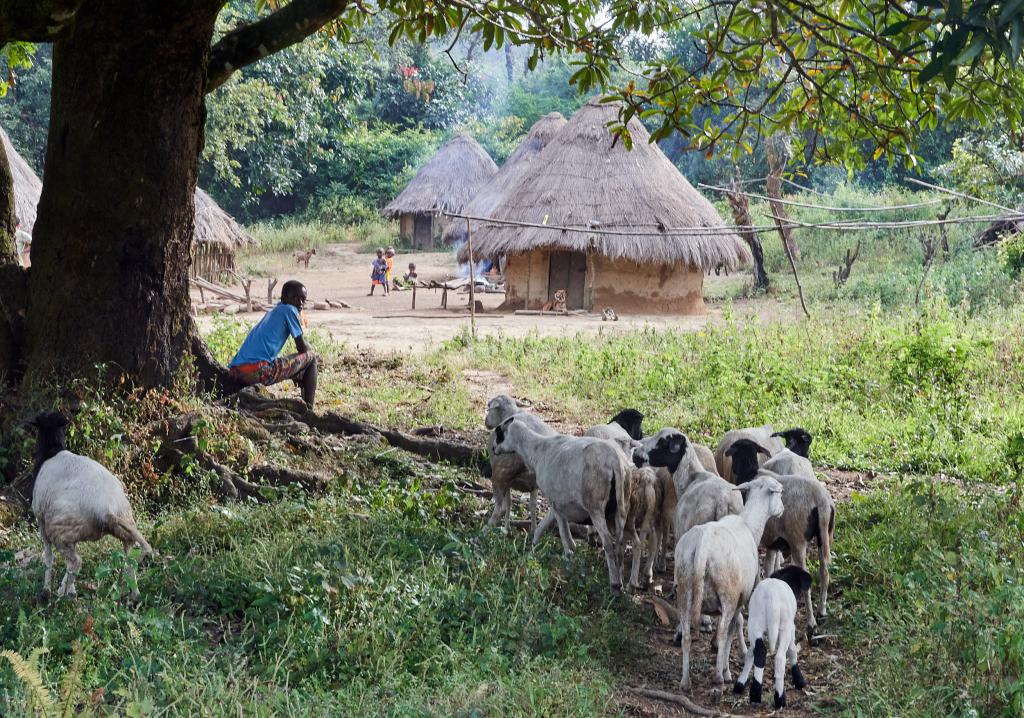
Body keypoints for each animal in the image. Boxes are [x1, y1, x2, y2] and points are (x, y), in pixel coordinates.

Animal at [29, 409, 151, 598]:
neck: (52, 450)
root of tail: (107, 509)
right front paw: (69, 588)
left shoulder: (40, 519)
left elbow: (48, 557)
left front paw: (47, 589)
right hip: (121, 527)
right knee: (129, 557)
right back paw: (134, 595)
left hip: (58, 530)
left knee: (76, 561)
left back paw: (61, 596)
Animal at [479, 395, 552, 528]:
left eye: (489, 407)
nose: (486, 421)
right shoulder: (533, 486)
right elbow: (532, 507)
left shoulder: (507, 481)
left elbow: (508, 502)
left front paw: (506, 527)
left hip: (499, 475)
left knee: (500, 508)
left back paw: (486, 528)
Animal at [489, 413, 630, 589]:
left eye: (499, 433)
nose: (493, 449)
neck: (538, 450)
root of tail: (615, 462)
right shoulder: (558, 503)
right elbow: (546, 526)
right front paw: (533, 546)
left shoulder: (555, 502)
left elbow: (563, 532)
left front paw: (567, 558)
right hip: (622, 506)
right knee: (620, 543)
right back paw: (621, 577)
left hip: (595, 507)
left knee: (608, 542)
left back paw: (615, 584)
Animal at [675, 475, 786, 688]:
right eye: (779, 492)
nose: (783, 509)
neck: (750, 524)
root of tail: (703, 543)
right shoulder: (740, 601)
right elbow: (731, 632)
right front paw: (726, 671)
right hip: (728, 594)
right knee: (721, 634)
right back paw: (718, 677)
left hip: (684, 592)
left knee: (686, 636)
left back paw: (685, 681)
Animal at [733, 565, 811, 704]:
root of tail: (771, 597)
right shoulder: (791, 629)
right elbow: (792, 651)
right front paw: (800, 681)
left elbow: (749, 654)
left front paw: (741, 682)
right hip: (784, 627)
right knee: (780, 658)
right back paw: (780, 698)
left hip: (755, 624)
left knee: (760, 652)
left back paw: (755, 694)